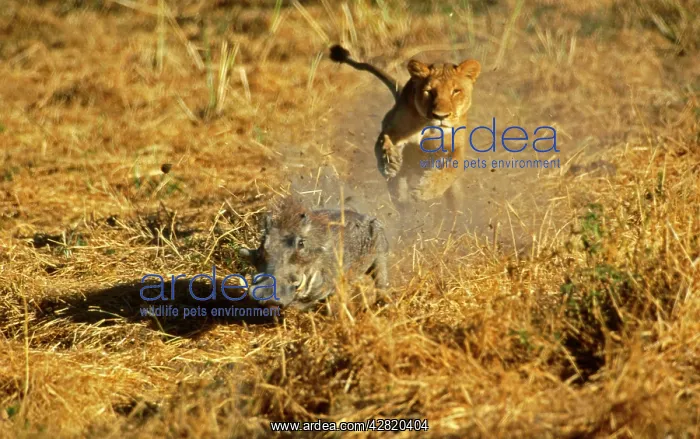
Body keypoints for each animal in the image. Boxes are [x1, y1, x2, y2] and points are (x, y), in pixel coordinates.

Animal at [329, 45, 481, 212]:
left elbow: (451, 169)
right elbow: (383, 142)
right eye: (429, 91)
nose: (440, 116)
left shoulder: (455, 147)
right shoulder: (393, 129)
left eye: (456, 91)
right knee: (402, 200)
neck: (429, 127)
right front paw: (390, 162)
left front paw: (426, 190)